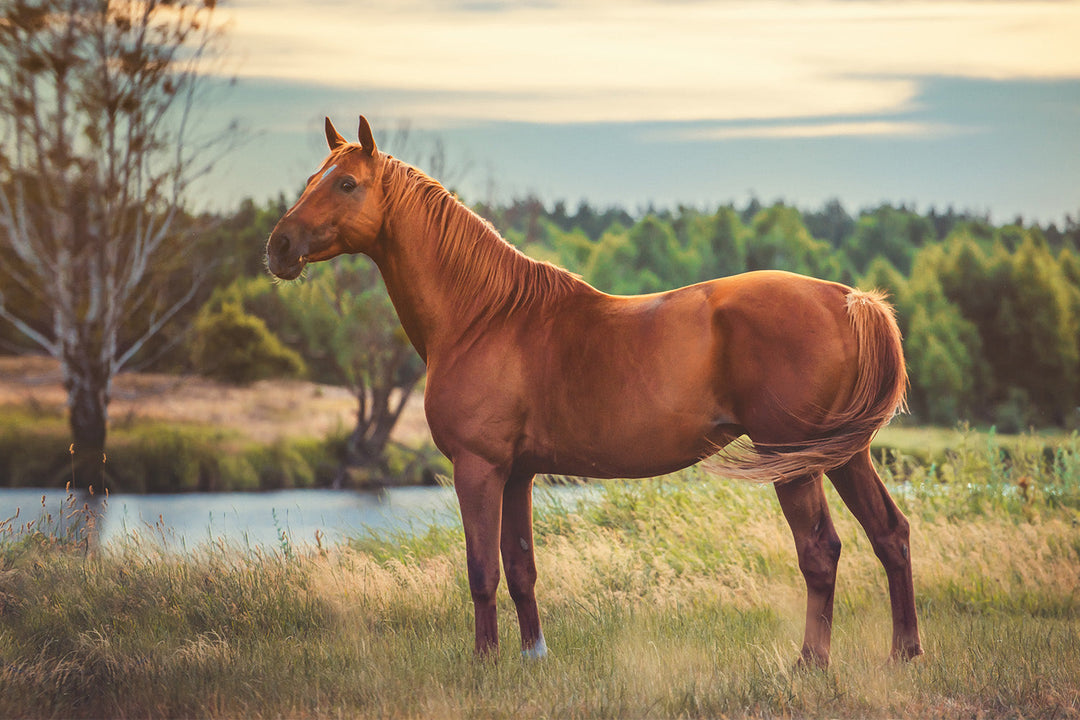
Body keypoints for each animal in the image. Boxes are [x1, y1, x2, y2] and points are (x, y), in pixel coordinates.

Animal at [265, 115, 924, 669]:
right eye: (311, 179)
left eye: (346, 183)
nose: (278, 246)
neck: (485, 316)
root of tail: (848, 300)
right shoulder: (518, 473)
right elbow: (521, 566)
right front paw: (533, 657)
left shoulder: (478, 468)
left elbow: (481, 570)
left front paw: (484, 663)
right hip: (843, 454)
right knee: (889, 534)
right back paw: (904, 654)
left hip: (793, 460)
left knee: (820, 551)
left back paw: (810, 663)